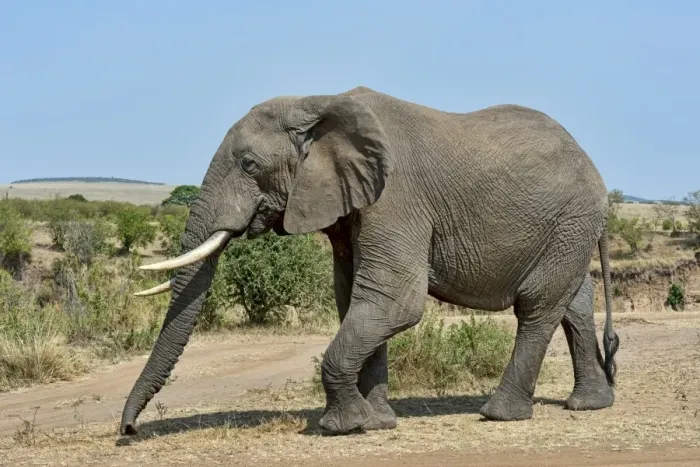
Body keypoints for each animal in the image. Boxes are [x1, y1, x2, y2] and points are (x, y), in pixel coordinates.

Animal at [120, 85, 620, 436]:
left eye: (248, 164)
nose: (128, 429)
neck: (317, 103)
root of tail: (592, 164)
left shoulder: (396, 198)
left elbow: (393, 301)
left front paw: (343, 426)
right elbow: (356, 299)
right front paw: (377, 421)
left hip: (571, 219)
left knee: (537, 304)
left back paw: (500, 414)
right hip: (567, 229)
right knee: (572, 303)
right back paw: (589, 405)